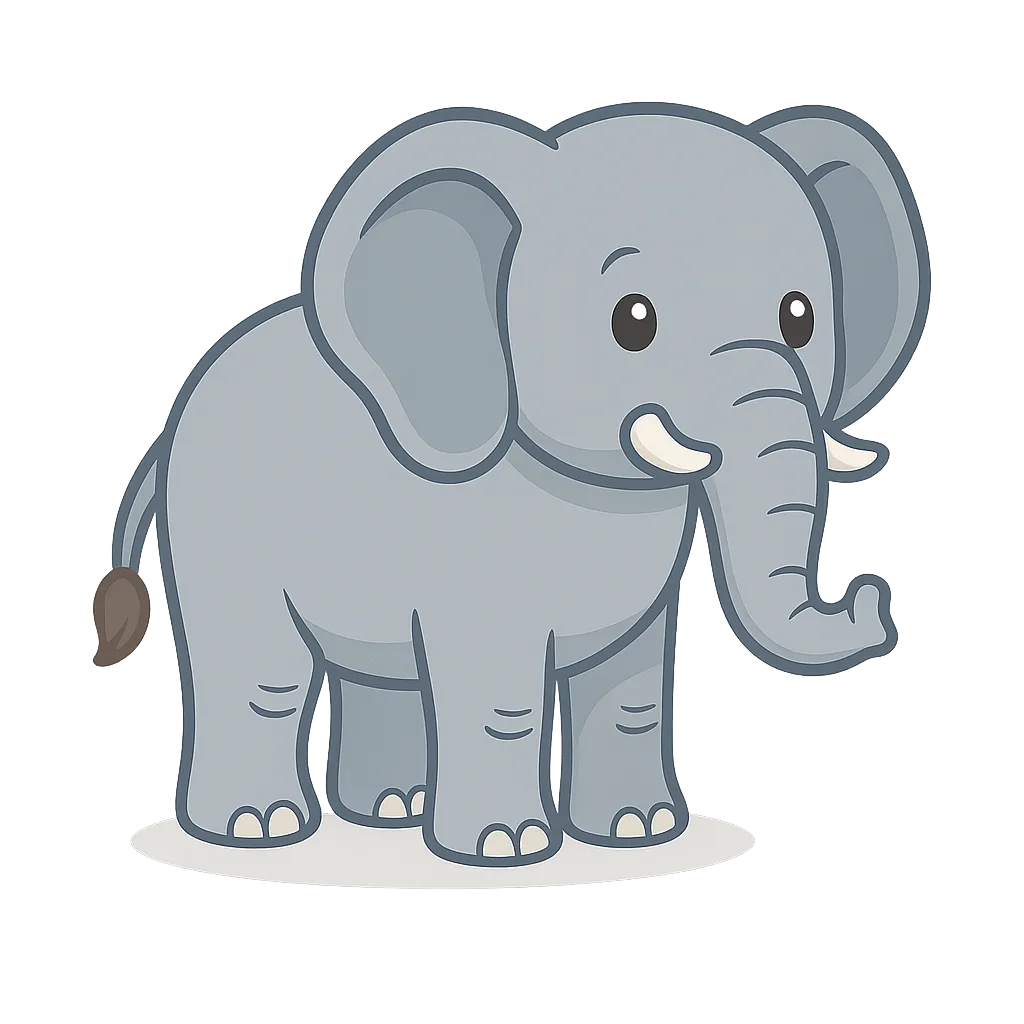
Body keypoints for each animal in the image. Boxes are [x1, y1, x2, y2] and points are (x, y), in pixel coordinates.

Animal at [98, 102, 929, 867]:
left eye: (801, 318)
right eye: (633, 320)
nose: (871, 596)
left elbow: (630, 690)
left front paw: (638, 832)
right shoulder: (474, 559)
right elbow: (501, 697)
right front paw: (506, 850)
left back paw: (392, 810)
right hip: (217, 529)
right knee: (260, 678)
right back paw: (256, 828)